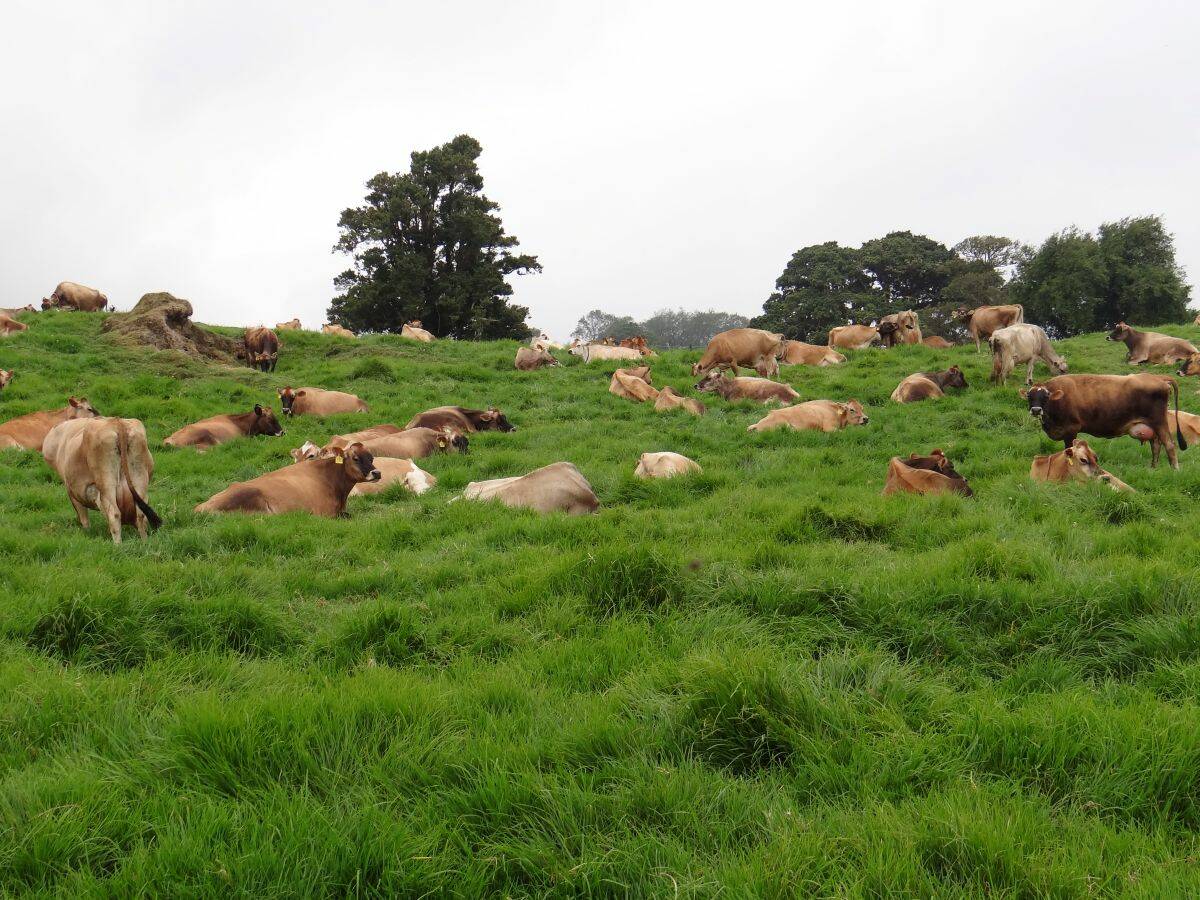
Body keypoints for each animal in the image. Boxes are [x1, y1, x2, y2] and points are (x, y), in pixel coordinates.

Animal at [1023, 373, 1186, 469]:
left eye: (1046, 396)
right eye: (1030, 396)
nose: (1036, 410)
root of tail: (1159, 378)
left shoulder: (1071, 429)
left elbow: (1068, 450)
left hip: (1159, 421)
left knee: (1169, 444)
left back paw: (1175, 470)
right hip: (1151, 425)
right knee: (1156, 445)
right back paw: (1153, 468)